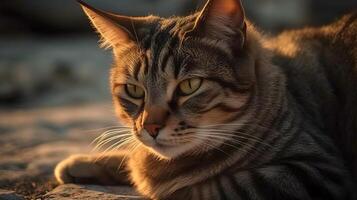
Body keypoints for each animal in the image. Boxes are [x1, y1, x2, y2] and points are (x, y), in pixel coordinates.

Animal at [53, 0, 356, 199]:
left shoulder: (316, 170)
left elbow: (210, 187)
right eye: (134, 90)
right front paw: (84, 162)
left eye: (189, 86)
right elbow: (134, 158)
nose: (150, 127)